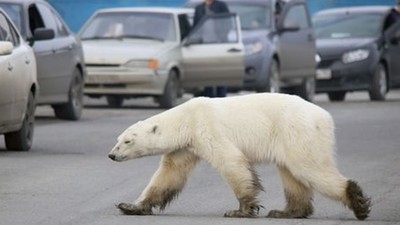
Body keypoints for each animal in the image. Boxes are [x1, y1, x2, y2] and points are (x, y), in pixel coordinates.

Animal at [108, 92, 370, 220]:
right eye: (118, 139)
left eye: (127, 141)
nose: (111, 155)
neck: (186, 119)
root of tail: (325, 116)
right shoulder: (185, 147)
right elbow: (169, 175)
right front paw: (130, 206)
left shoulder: (208, 129)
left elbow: (231, 162)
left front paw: (241, 210)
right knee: (292, 175)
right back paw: (287, 212)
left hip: (297, 131)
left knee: (309, 168)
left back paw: (358, 202)